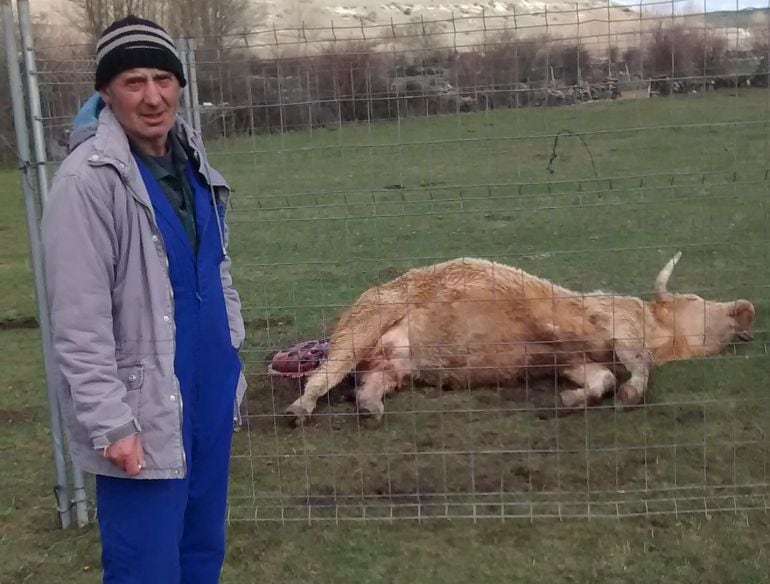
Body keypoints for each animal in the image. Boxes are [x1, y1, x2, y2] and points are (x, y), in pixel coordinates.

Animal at [284, 251, 756, 424]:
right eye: (694, 299)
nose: (746, 307)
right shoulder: (612, 323)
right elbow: (634, 364)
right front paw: (629, 393)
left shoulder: (573, 360)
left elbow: (601, 378)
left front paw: (569, 400)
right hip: (362, 328)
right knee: (324, 375)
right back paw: (300, 408)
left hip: (394, 365)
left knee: (369, 384)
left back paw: (370, 406)